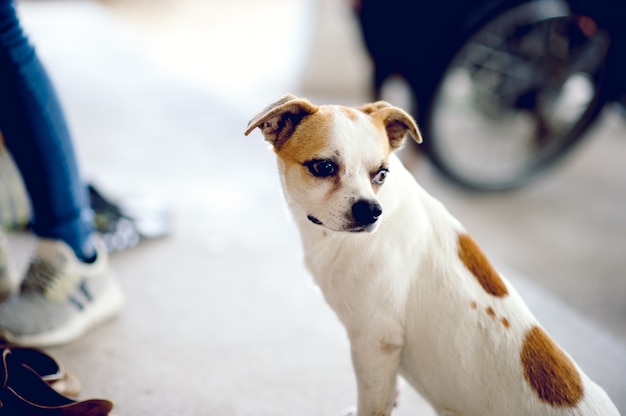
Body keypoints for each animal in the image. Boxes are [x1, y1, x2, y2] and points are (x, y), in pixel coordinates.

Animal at [244, 94, 620, 416]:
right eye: (323, 167)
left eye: (381, 173)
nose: (371, 211)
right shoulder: (385, 354)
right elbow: (388, 391)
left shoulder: (374, 342)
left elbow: (372, 403)